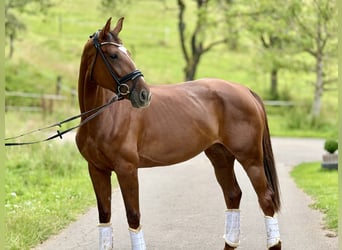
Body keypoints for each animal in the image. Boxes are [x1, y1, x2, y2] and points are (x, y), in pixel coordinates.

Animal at [76, 16, 282, 249]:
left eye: (127, 52)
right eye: (113, 55)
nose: (144, 94)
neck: (104, 117)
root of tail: (245, 90)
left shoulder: (127, 169)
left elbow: (133, 217)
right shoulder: (97, 170)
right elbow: (105, 216)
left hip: (251, 159)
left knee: (265, 199)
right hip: (221, 156)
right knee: (232, 194)